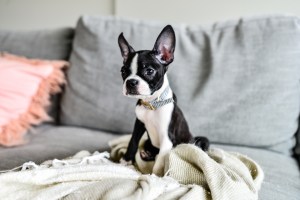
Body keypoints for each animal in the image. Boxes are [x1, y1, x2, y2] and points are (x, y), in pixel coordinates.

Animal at [117, 24, 209, 175]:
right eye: (123, 71)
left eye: (149, 71)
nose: (131, 82)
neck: (152, 103)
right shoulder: (139, 125)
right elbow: (133, 142)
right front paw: (126, 161)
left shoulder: (167, 138)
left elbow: (160, 160)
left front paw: (155, 176)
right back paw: (146, 154)